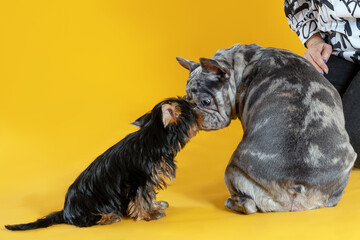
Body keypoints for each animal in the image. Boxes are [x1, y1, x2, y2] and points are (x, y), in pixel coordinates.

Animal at [5, 97, 201, 231]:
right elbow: (140, 197)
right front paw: (148, 214)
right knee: (84, 221)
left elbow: (148, 195)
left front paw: (154, 206)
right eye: (192, 113)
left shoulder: (148, 178)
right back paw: (108, 217)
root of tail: (66, 210)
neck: (154, 137)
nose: (199, 110)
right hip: (88, 207)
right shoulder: (139, 179)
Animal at [176, 43, 356, 214]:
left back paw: (232, 203)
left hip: (232, 170)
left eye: (206, 102)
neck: (240, 62)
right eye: (186, 99)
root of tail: (295, 186)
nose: (192, 114)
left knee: (248, 205)